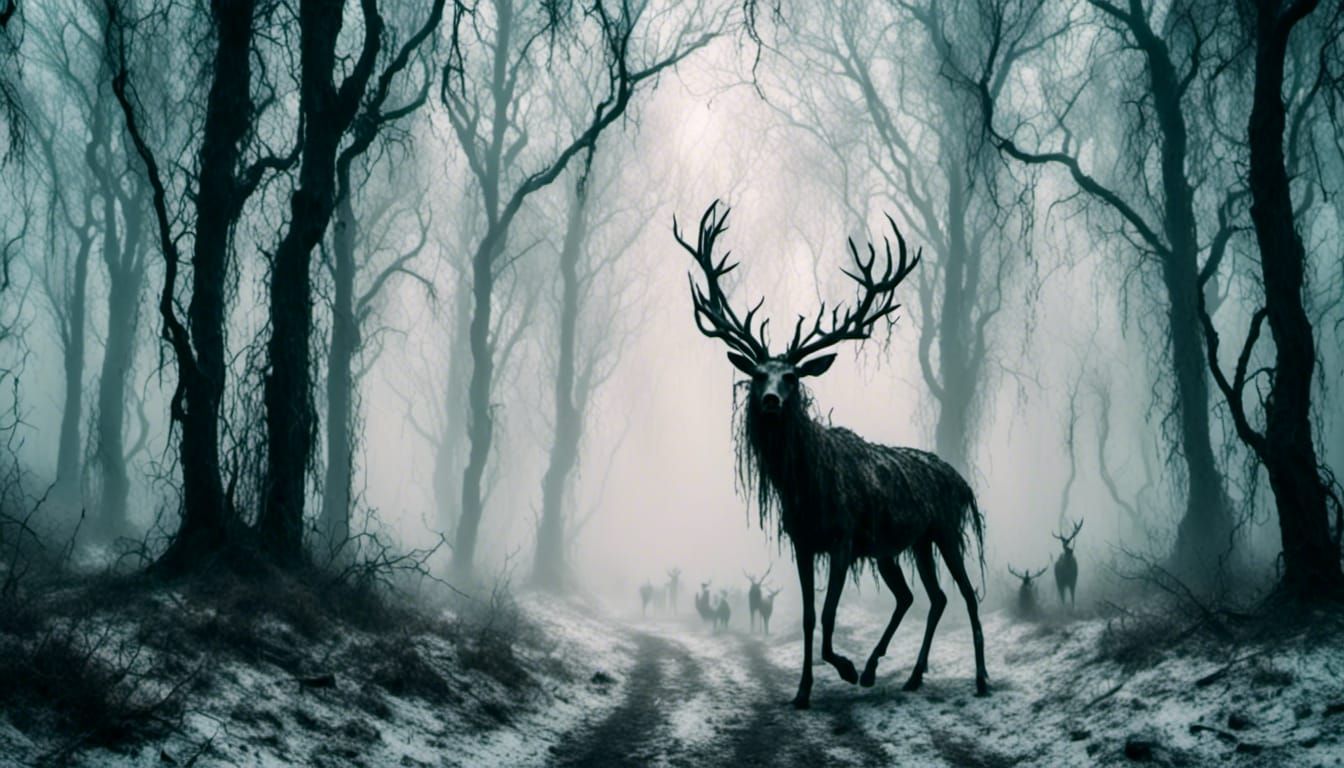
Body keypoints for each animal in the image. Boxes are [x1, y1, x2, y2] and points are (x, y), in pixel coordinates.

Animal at [676, 202, 988, 708]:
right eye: (758, 374)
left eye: (793, 377)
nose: (770, 401)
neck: (805, 489)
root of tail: (963, 483)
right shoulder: (803, 542)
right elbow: (806, 617)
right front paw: (803, 690)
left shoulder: (842, 539)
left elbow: (827, 615)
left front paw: (843, 667)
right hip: (905, 544)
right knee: (924, 597)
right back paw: (903, 674)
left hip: (945, 529)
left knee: (967, 595)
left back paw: (978, 677)